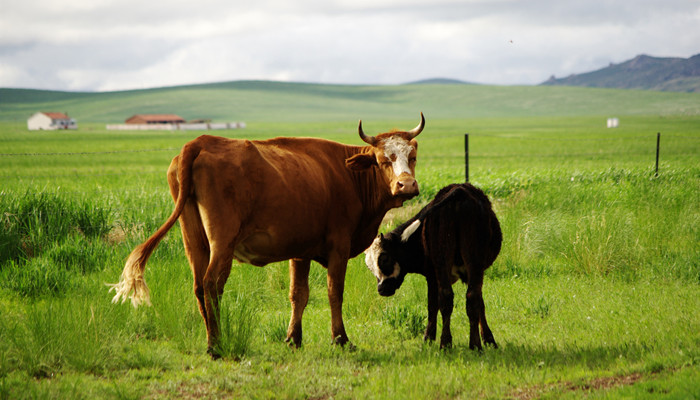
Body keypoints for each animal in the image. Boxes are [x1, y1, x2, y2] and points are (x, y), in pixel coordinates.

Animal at [110, 113, 426, 360]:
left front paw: (293, 339)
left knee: (199, 286)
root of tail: (201, 142)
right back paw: (216, 345)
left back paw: (212, 340)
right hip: (222, 242)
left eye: (412, 157)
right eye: (383, 160)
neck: (347, 175)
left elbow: (298, 294)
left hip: (194, 241)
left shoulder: (301, 250)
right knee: (212, 285)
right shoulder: (339, 245)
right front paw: (341, 339)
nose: (407, 185)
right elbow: (334, 292)